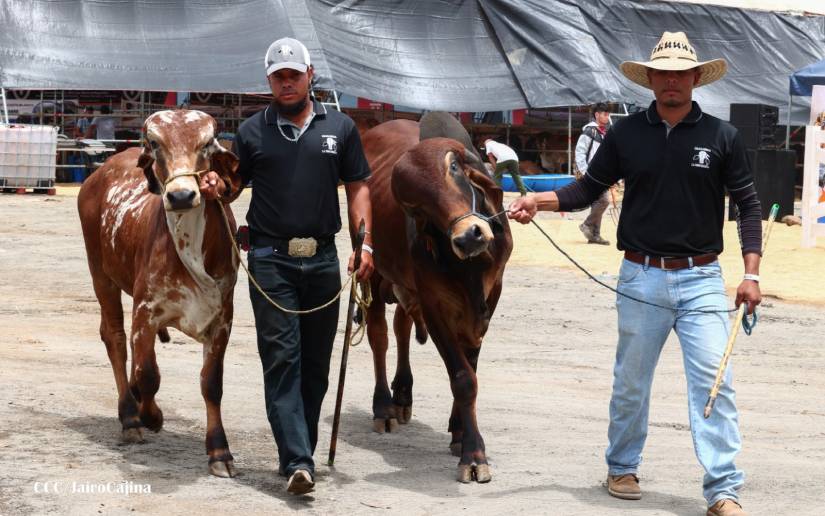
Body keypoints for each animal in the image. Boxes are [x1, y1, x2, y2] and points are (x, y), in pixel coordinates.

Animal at [77, 111, 241, 478]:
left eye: (207, 143)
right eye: (154, 143)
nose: (181, 196)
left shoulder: (222, 319)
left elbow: (212, 383)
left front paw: (219, 451)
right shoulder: (145, 311)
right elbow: (149, 374)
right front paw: (150, 416)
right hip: (100, 276)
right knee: (115, 340)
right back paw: (130, 414)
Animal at [362, 114, 512, 484]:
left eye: (454, 168)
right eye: (416, 206)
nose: (469, 236)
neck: (469, 266)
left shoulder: (490, 298)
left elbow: (472, 367)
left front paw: (459, 433)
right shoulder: (434, 304)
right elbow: (463, 378)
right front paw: (474, 454)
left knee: (401, 327)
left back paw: (403, 394)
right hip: (373, 269)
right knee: (379, 336)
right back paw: (384, 406)